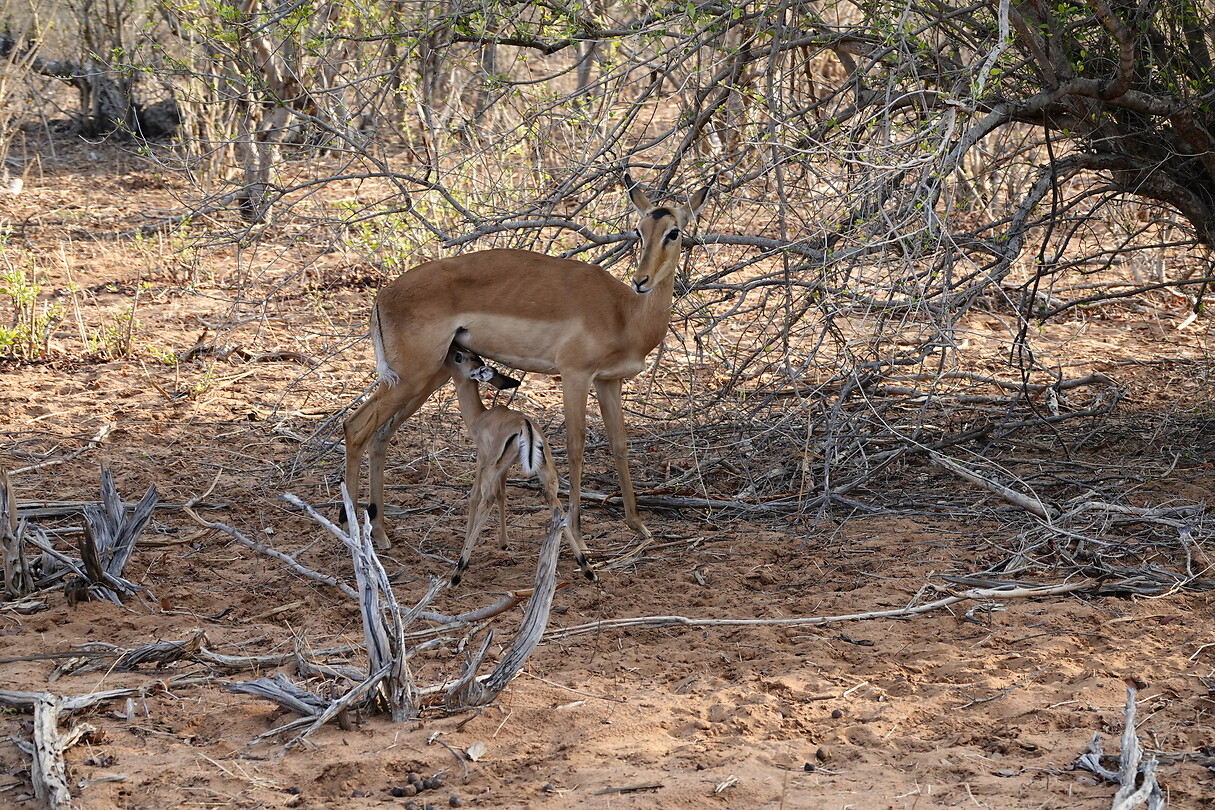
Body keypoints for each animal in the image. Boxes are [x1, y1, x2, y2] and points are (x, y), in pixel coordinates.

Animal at [342, 172, 712, 555]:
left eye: (674, 231)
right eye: (638, 231)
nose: (641, 281)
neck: (625, 313)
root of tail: (383, 294)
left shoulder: (608, 381)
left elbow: (619, 445)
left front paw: (638, 526)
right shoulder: (575, 374)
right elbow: (576, 446)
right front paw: (578, 533)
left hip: (427, 377)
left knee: (380, 435)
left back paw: (381, 533)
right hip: (411, 377)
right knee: (355, 428)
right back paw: (354, 537)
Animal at [443, 344, 592, 585]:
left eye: (459, 356)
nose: (450, 348)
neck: (480, 417)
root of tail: (526, 425)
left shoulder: (483, 458)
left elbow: (475, 496)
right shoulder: (505, 468)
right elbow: (503, 494)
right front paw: (504, 543)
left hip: (492, 469)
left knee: (487, 499)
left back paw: (458, 571)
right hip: (547, 475)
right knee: (556, 505)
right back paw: (587, 567)